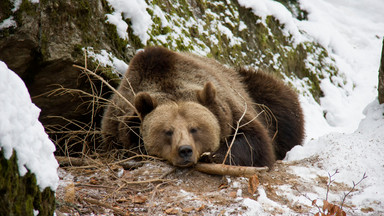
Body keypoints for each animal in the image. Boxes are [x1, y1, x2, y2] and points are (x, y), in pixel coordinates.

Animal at [100, 46, 304, 168]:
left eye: (195, 128)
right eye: (167, 131)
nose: (185, 150)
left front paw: (213, 155)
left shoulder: (232, 109)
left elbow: (254, 142)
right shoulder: (117, 123)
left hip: (258, 92)